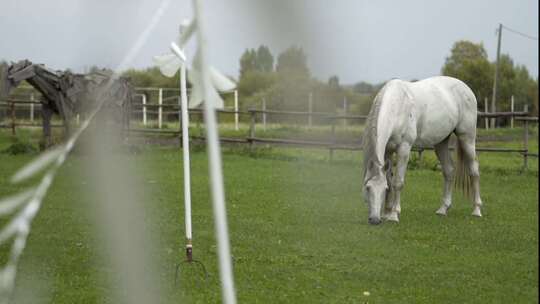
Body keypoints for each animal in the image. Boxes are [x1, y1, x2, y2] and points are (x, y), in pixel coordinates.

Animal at [360, 75, 484, 226]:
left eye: (383, 189)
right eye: (367, 187)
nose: (375, 220)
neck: (397, 107)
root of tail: (467, 89)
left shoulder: (404, 148)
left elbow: (397, 182)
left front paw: (394, 215)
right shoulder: (387, 151)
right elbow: (389, 178)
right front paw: (386, 213)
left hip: (467, 138)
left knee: (474, 171)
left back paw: (476, 210)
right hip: (441, 142)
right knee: (449, 171)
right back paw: (443, 209)